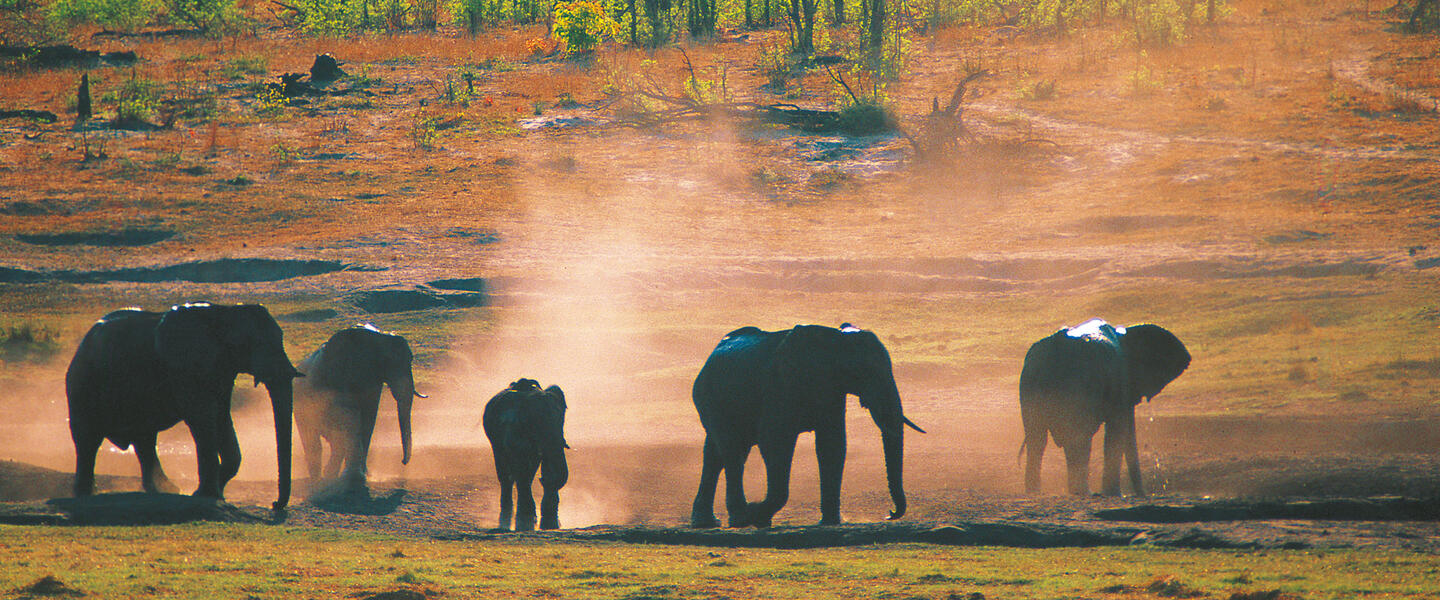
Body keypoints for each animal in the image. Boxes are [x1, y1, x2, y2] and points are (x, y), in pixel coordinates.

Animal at [68, 302, 305, 506]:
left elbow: (222, 417)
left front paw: (215, 492)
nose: (275, 504)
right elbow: (202, 417)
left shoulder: (222, 370)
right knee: (87, 440)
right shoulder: (184, 367)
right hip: (81, 384)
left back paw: (166, 490)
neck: (223, 314)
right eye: (251, 343)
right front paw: (206, 495)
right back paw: (85, 493)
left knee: (145, 441)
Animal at [292, 325, 423, 492]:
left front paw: (363, 476)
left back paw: (329, 475)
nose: (402, 462)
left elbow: (368, 419)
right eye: (387, 361)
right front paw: (355, 478)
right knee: (313, 439)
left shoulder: (373, 383)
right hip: (300, 404)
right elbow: (350, 417)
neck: (376, 337)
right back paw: (318, 480)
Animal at [685, 322, 921, 529]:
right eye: (862, 370)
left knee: (716, 455)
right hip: (710, 399)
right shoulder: (779, 385)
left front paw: (830, 523)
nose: (889, 514)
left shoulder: (831, 389)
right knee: (731, 451)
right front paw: (757, 516)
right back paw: (739, 519)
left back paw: (709, 522)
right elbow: (774, 442)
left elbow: (832, 444)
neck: (834, 338)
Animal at [1019, 317, 1198, 494]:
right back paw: (1083, 492)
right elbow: (1117, 430)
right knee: (1078, 438)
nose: (1142, 494)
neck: (1125, 333)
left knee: (1037, 438)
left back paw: (1036, 491)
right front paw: (1113, 494)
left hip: (1030, 384)